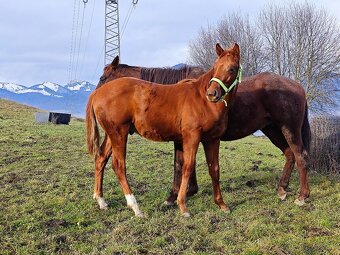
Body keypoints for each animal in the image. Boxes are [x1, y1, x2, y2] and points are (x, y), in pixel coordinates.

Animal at [87, 42, 242, 216]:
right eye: (215, 67)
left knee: (101, 159)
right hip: (119, 133)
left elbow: (214, 169)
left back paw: (101, 200)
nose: (212, 93)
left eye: (231, 69)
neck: (202, 100)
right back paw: (135, 207)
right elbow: (187, 166)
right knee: (118, 165)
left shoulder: (212, 140)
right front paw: (182, 206)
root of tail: (97, 94)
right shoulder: (191, 137)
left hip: (112, 134)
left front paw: (221, 204)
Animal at [94, 48, 312, 208]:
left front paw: (176, 196)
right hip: (272, 129)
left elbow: (180, 165)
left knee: (300, 155)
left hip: (288, 128)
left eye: (103, 78)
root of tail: (297, 86)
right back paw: (282, 189)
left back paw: (302, 196)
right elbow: (182, 164)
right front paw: (183, 194)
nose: (95, 98)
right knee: (289, 154)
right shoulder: (183, 138)